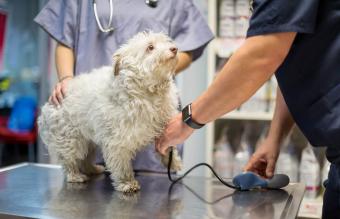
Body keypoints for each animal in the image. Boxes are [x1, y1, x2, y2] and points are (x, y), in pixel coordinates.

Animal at [37, 31, 183, 192]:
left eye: (166, 41)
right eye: (150, 47)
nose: (174, 49)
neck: (148, 93)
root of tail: (47, 104)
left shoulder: (163, 125)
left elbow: (169, 146)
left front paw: (173, 162)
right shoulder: (117, 140)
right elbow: (121, 164)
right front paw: (127, 183)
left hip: (88, 140)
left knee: (85, 159)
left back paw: (93, 169)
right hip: (70, 140)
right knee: (69, 160)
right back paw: (75, 175)